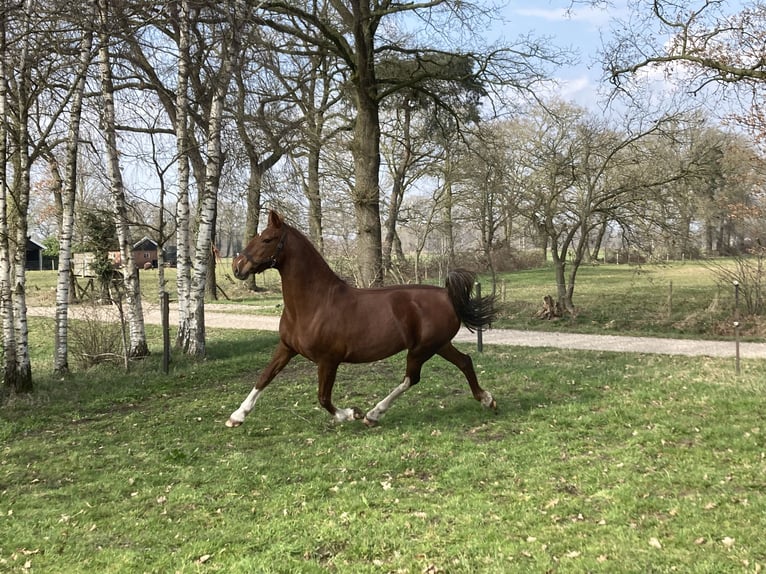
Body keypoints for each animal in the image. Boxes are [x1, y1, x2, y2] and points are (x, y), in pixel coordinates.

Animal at [227, 210, 497, 427]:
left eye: (267, 239)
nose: (237, 267)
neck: (313, 304)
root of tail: (447, 295)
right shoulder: (286, 348)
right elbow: (264, 378)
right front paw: (236, 416)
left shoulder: (328, 360)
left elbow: (323, 397)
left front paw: (351, 414)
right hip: (439, 345)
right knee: (464, 362)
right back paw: (487, 399)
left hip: (422, 349)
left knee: (411, 378)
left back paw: (372, 414)